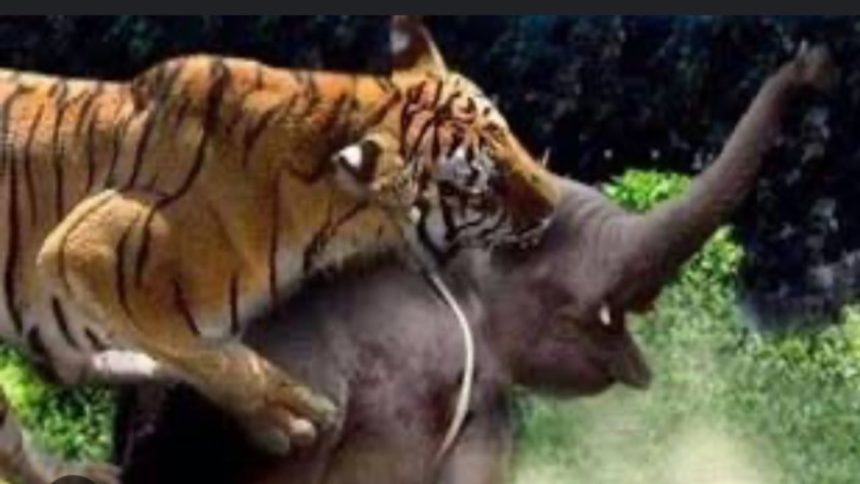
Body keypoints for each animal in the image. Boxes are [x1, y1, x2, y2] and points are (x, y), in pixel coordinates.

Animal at [0, 13, 560, 475]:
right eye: (480, 188)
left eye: (508, 135)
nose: (554, 205)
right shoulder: (85, 247)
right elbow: (216, 354)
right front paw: (291, 418)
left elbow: (194, 350)